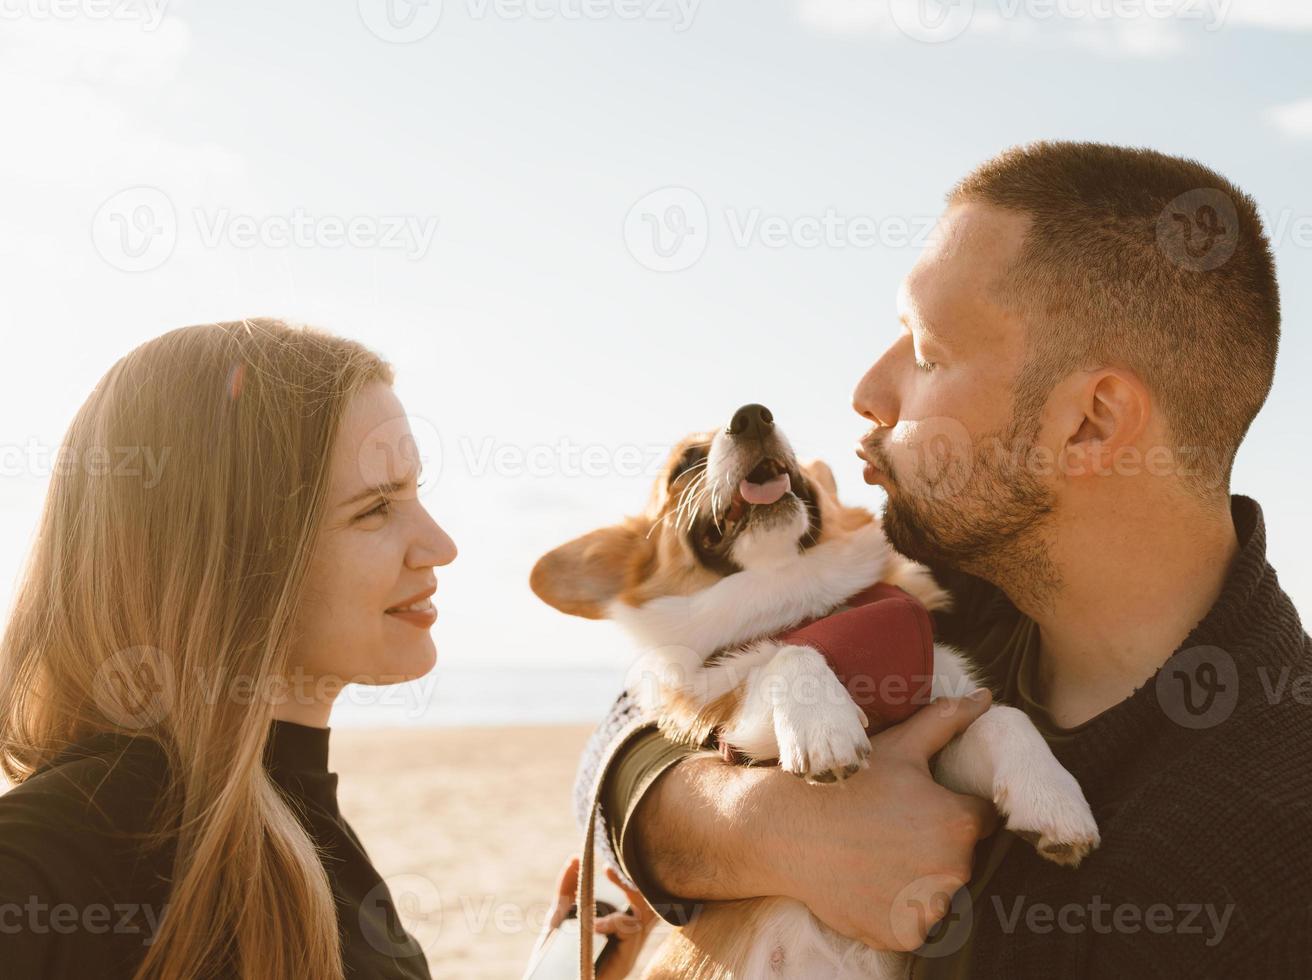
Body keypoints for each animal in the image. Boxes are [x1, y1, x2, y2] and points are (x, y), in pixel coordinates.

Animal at [530, 401, 1096, 976]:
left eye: (777, 428)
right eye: (684, 463)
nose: (751, 416)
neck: (796, 601)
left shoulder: (939, 735)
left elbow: (1004, 718)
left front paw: (1052, 798)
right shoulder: (737, 732)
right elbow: (790, 655)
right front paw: (825, 729)